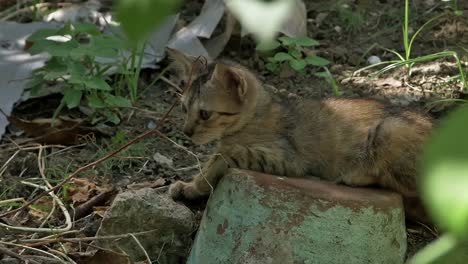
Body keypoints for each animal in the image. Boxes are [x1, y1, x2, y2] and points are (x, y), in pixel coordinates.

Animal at [166, 48, 434, 222]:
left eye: (204, 114)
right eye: (183, 108)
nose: (186, 132)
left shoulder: (285, 159)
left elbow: (221, 158)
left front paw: (194, 186)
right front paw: (189, 184)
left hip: (390, 130)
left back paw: (352, 174)